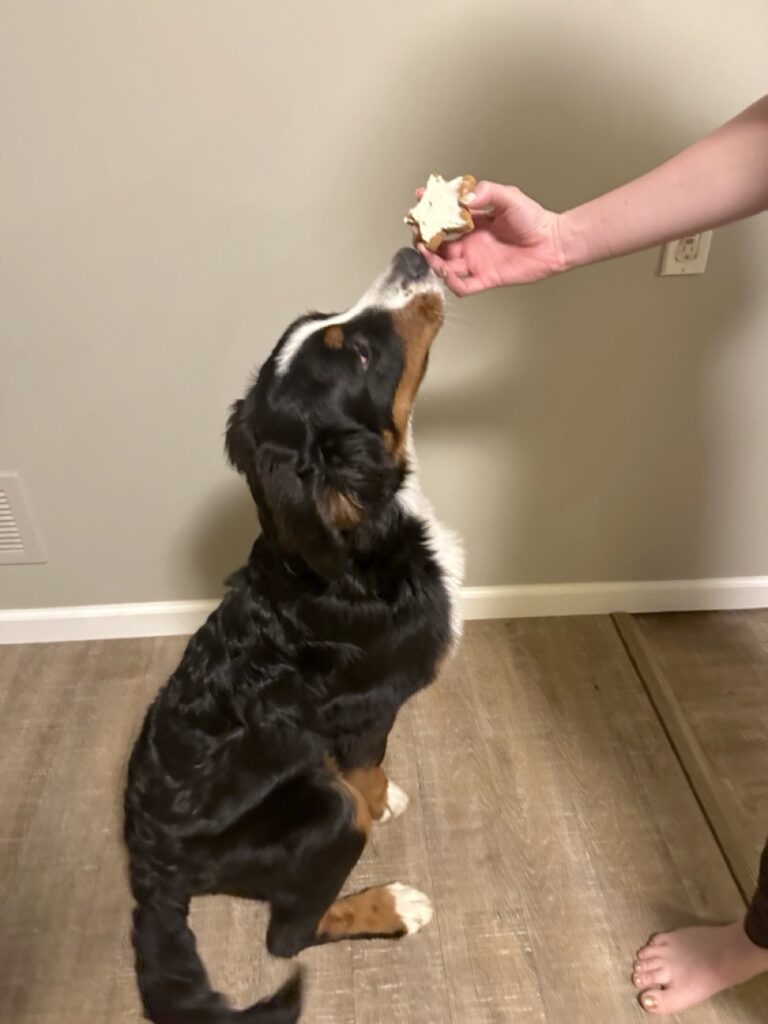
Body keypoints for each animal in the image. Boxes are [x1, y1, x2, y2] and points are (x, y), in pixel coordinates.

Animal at [123, 249, 466, 1024]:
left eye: (325, 320)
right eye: (361, 353)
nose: (410, 255)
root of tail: (148, 864)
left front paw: (387, 796)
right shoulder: (368, 708)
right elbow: (364, 770)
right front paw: (380, 800)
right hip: (320, 816)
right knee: (288, 936)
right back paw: (394, 905)